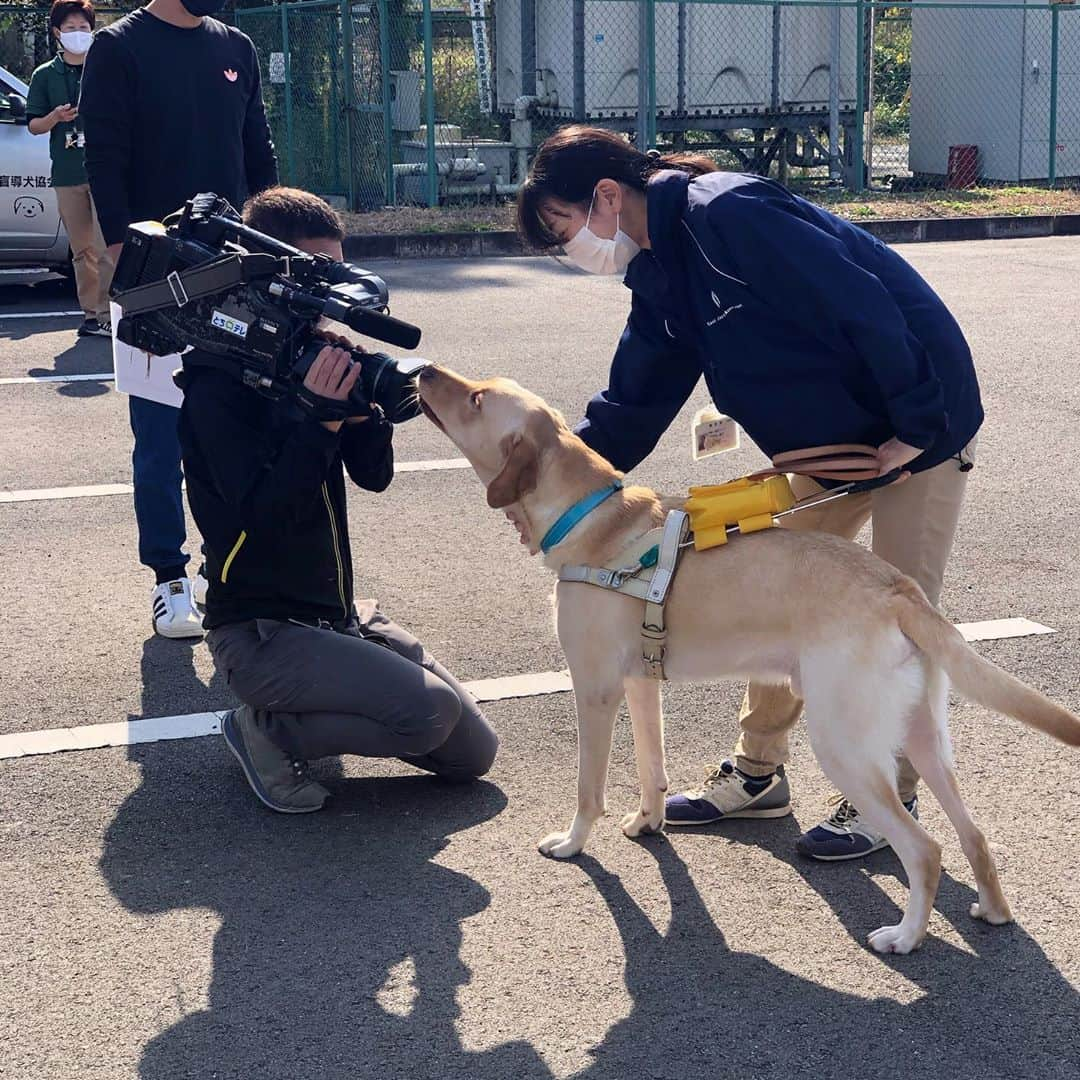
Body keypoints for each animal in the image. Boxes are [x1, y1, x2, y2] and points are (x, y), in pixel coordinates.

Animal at [414, 365, 1080, 954]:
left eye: (475, 399)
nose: (422, 370)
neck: (590, 518)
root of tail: (898, 589)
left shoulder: (595, 689)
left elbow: (588, 788)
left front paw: (575, 844)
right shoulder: (640, 685)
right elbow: (651, 767)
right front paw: (649, 822)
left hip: (843, 744)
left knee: (925, 850)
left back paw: (906, 936)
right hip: (922, 737)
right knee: (974, 834)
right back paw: (993, 910)